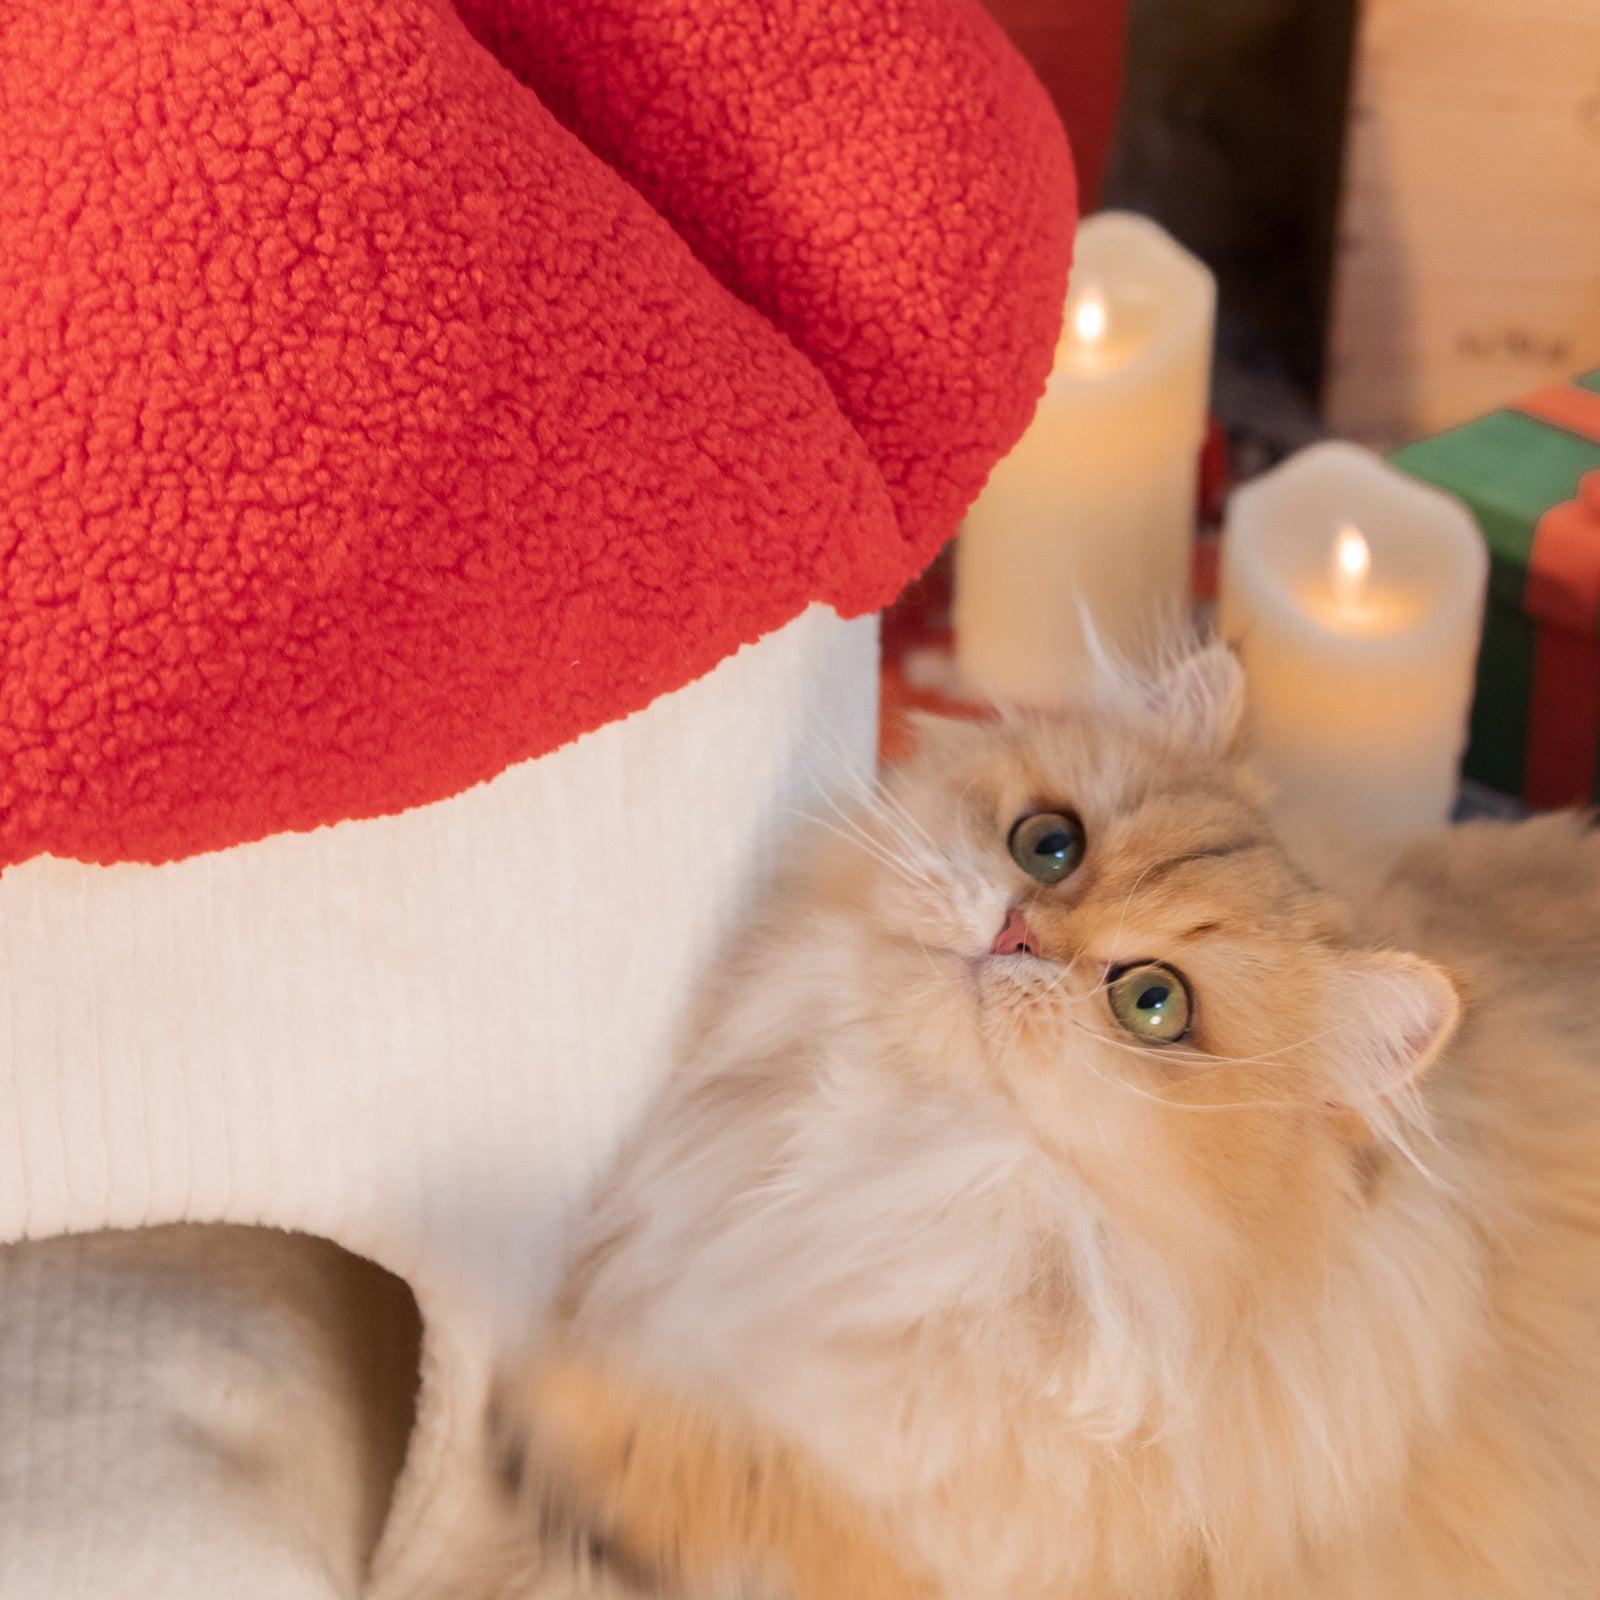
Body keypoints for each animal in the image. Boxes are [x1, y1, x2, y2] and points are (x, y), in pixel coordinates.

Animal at [470, 640, 1600, 1600]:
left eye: (1153, 1002)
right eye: (1048, 845)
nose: (1017, 932)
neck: (895, 1171)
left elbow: (751, 1486)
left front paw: (556, 1412)